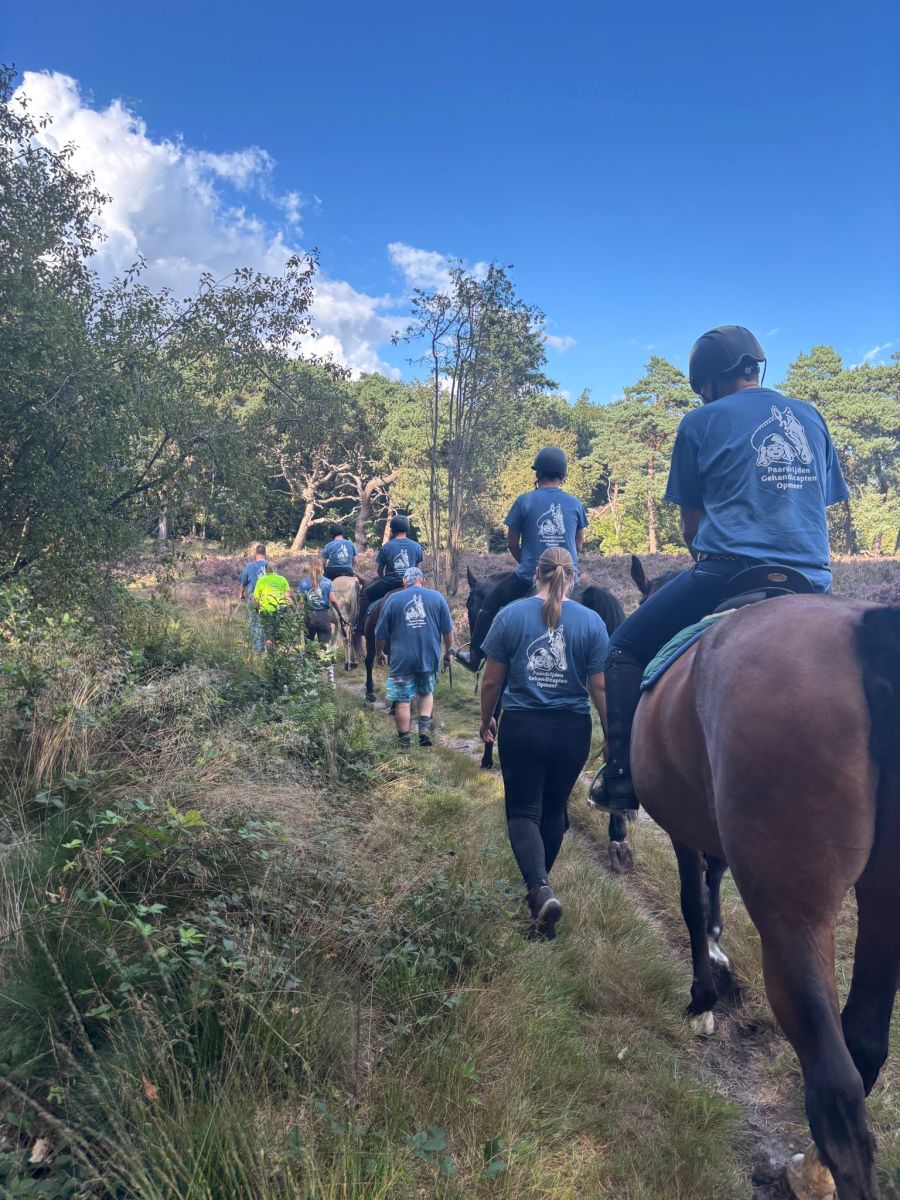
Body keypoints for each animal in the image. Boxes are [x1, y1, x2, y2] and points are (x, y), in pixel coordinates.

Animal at [626, 595, 900, 1200]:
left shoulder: (683, 829)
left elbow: (693, 901)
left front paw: (704, 998)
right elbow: (711, 888)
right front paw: (719, 962)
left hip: (792, 919)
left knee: (835, 1085)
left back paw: (807, 1173)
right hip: (884, 905)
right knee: (865, 1044)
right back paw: (813, 1167)